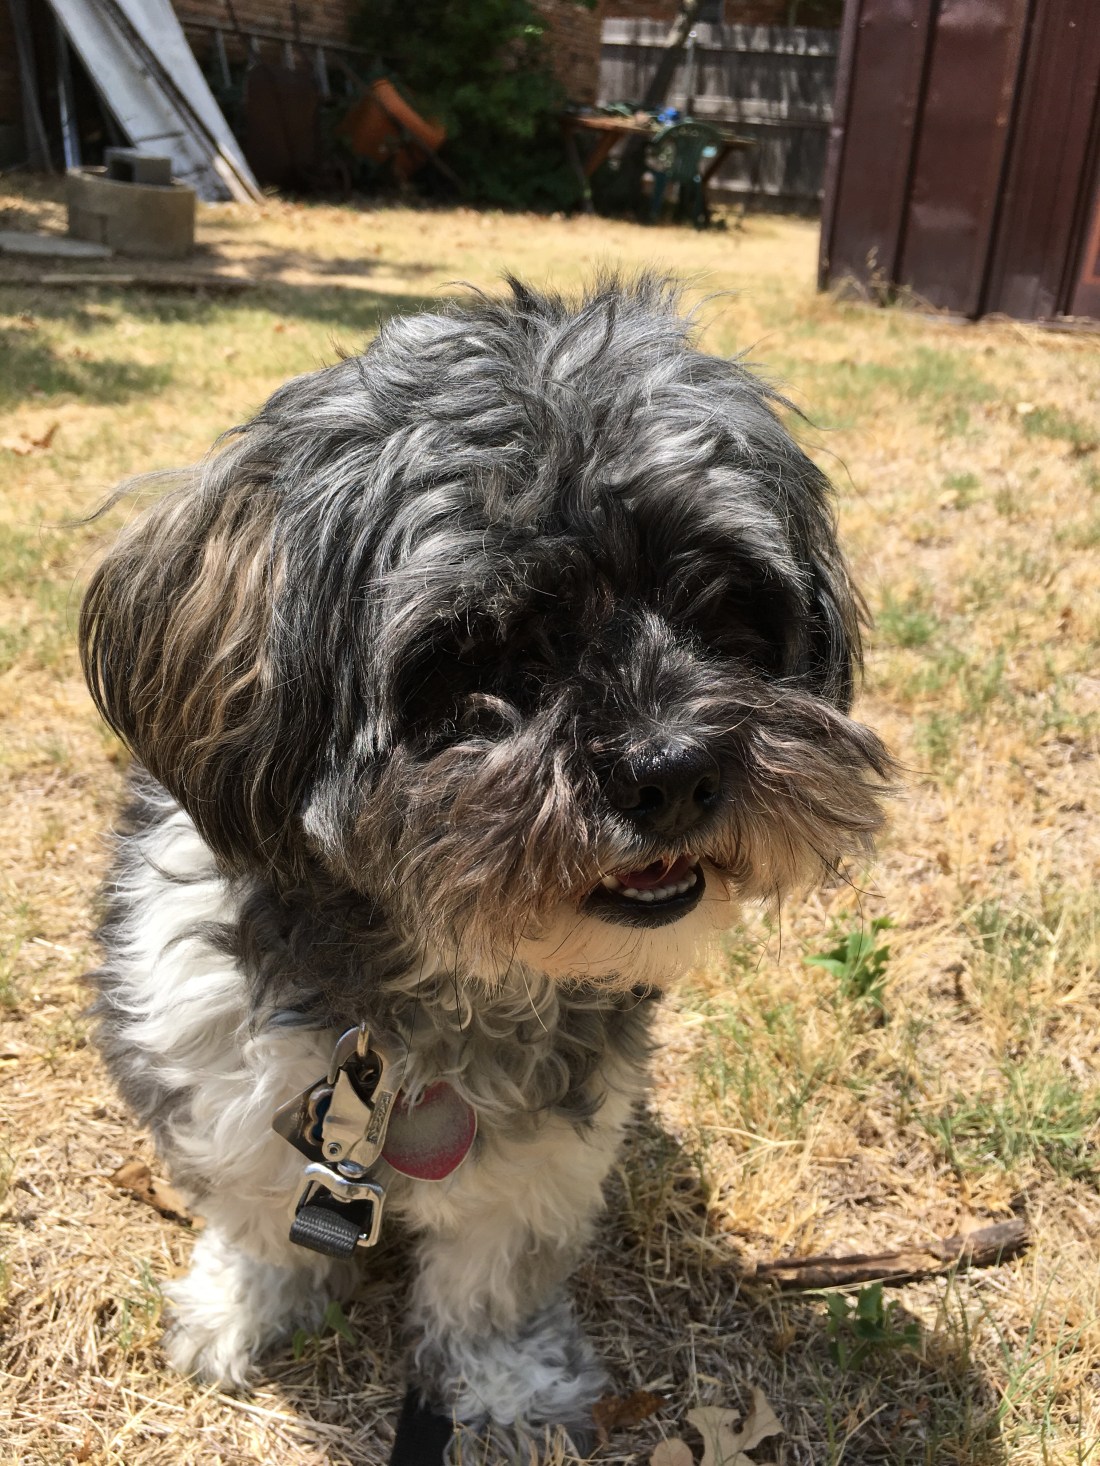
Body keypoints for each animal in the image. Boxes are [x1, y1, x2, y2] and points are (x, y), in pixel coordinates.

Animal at [80, 276, 890, 1462]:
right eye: (476, 652)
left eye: (722, 607)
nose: (673, 769)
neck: (427, 989)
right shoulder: (216, 1068)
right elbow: (257, 1215)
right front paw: (242, 1306)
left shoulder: (552, 1135)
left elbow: (492, 1270)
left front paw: (504, 1380)